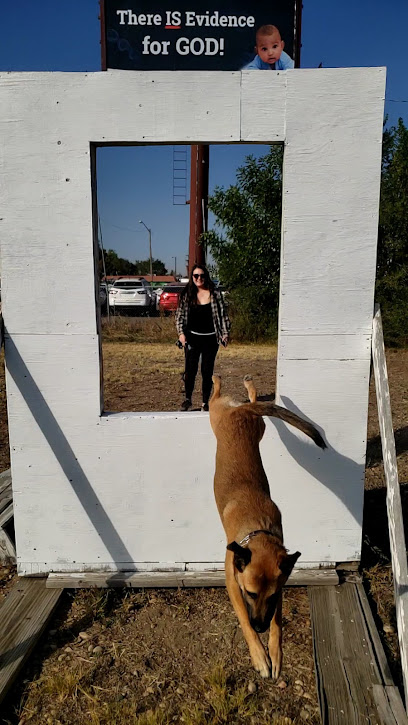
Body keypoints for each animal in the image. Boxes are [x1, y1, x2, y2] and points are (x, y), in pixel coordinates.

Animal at [209, 374, 326, 680]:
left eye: (270, 596)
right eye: (250, 594)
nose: (260, 626)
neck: (257, 529)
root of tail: (243, 413)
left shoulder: (280, 587)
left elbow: (278, 622)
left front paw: (275, 651)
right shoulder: (233, 585)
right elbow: (244, 621)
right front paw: (259, 655)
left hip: (240, 422)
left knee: (233, 397)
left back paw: (235, 384)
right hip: (219, 416)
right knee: (216, 395)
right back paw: (219, 379)